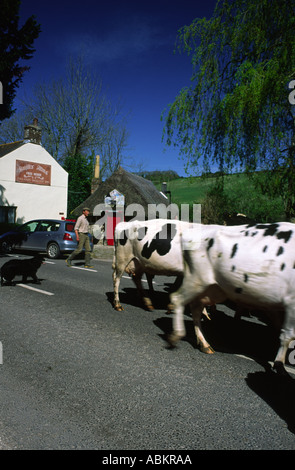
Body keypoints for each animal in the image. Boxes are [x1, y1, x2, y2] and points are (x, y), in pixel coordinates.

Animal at [169, 221, 295, 374]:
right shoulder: (291, 302)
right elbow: (288, 335)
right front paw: (279, 365)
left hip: (213, 288)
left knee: (195, 308)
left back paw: (204, 344)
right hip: (197, 279)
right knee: (177, 299)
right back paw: (176, 335)